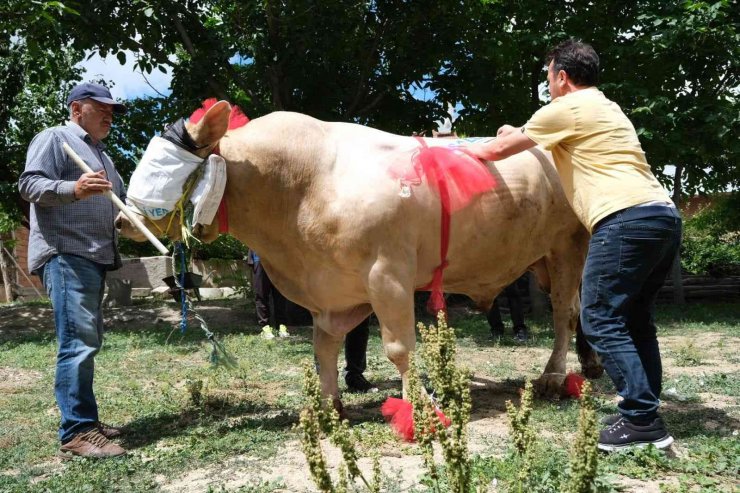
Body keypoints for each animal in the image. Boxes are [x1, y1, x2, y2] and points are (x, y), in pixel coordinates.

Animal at [117, 101, 600, 412]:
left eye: (162, 167)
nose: (122, 222)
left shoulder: (388, 275)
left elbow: (398, 347)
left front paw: (419, 405)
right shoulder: (332, 291)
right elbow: (324, 347)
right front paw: (331, 405)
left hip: (568, 245)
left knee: (564, 312)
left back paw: (555, 376)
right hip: (546, 258)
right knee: (579, 310)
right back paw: (590, 365)